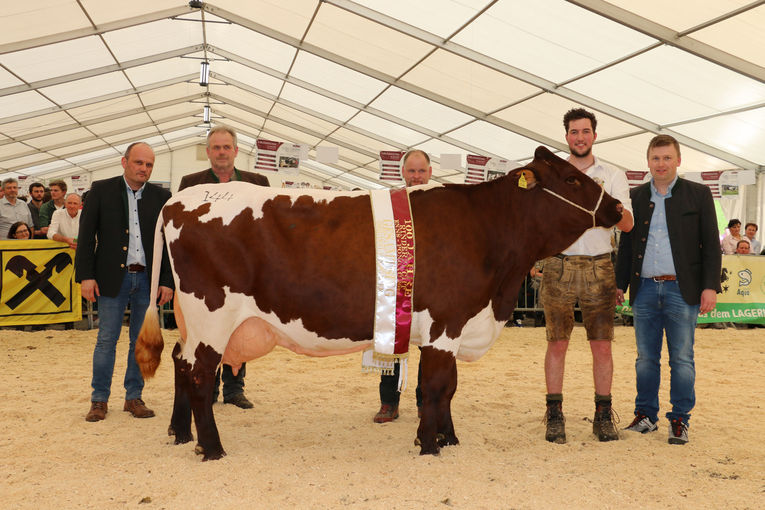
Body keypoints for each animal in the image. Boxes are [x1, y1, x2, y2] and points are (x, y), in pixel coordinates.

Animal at [137, 145, 628, 460]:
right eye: (572, 179)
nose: (619, 208)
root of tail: (178, 200)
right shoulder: (447, 322)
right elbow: (438, 387)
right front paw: (429, 445)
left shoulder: (443, 327)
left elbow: (445, 388)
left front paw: (447, 439)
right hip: (211, 315)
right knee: (200, 375)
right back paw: (212, 448)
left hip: (190, 319)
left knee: (180, 364)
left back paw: (181, 434)